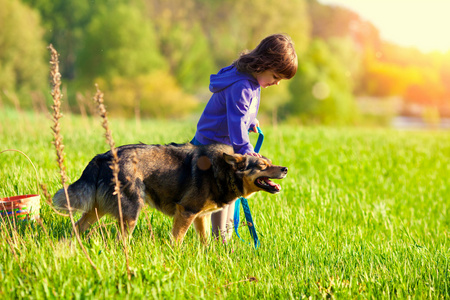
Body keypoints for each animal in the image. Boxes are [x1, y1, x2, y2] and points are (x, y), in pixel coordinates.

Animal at [51, 143, 284, 244]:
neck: (222, 171)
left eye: (270, 163)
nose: (285, 169)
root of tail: (103, 156)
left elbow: (205, 240)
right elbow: (177, 240)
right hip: (130, 213)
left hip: (96, 210)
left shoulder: (201, 217)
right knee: (120, 240)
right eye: (262, 166)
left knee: (77, 226)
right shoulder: (186, 212)